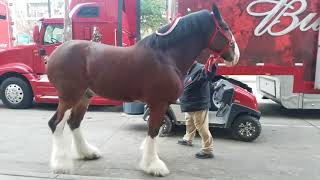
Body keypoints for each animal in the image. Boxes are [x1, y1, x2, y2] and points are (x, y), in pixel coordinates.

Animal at [46, 3, 239, 176]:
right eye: (225, 27)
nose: (235, 56)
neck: (165, 57)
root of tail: (55, 53)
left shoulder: (161, 104)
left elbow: (155, 131)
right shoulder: (158, 103)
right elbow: (153, 131)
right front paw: (153, 166)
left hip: (84, 97)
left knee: (74, 123)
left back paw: (86, 153)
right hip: (69, 97)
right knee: (56, 124)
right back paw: (61, 165)